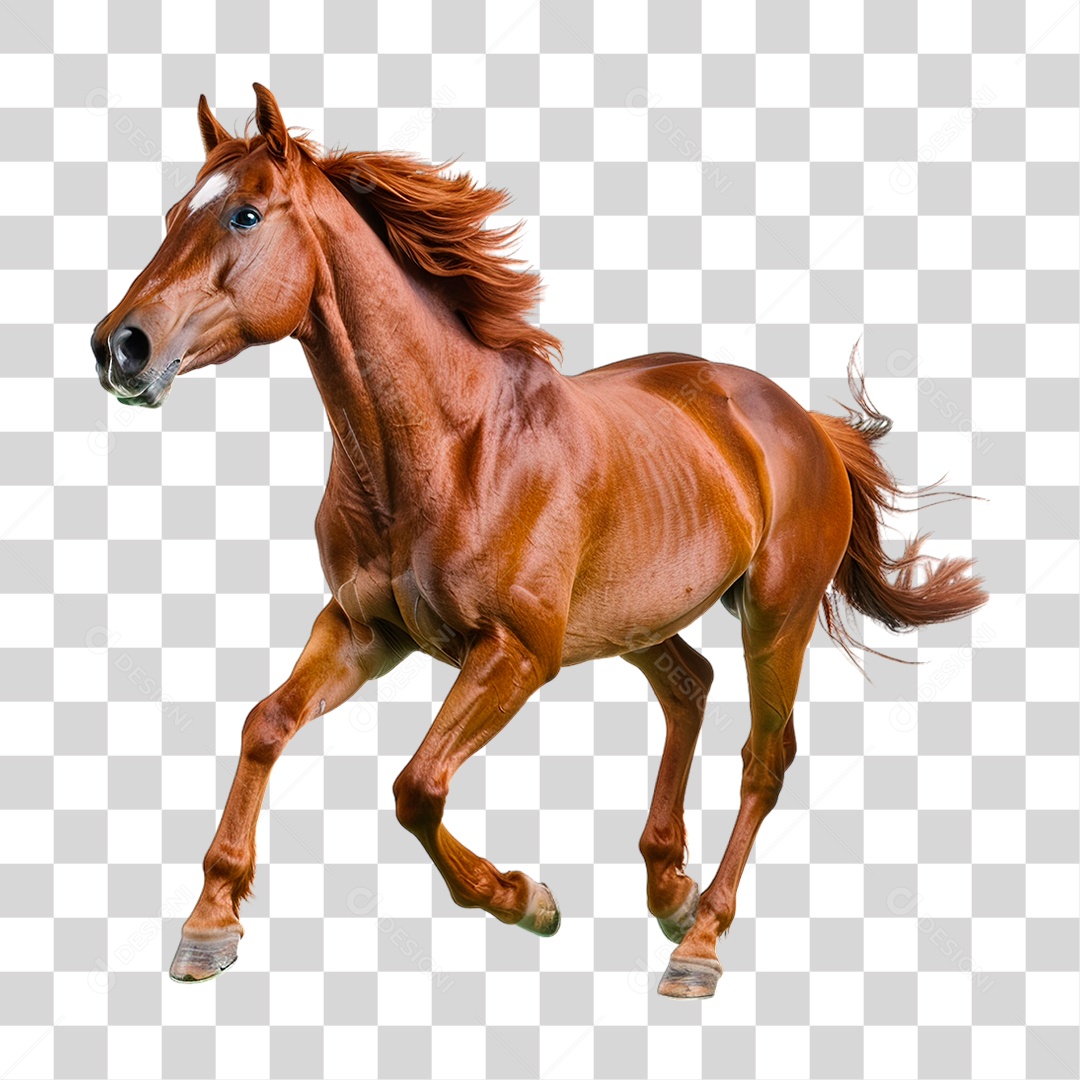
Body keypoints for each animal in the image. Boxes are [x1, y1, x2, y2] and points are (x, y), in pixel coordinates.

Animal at [92, 85, 987, 998]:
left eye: (244, 214)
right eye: (173, 212)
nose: (119, 347)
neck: (448, 447)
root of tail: (800, 420)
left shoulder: (517, 653)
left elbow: (417, 786)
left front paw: (526, 900)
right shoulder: (363, 630)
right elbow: (265, 725)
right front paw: (209, 924)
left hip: (777, 618)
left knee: (764, 758)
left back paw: (699, 941)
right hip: (636, 618)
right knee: (689, 687)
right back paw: (669, 887)